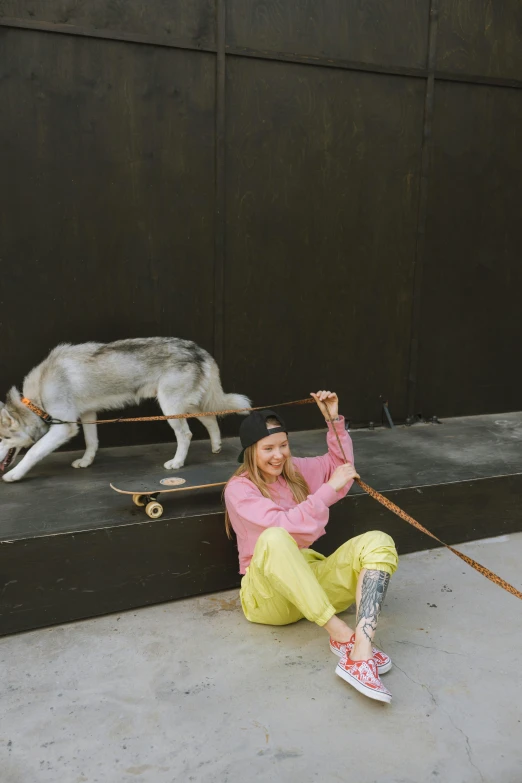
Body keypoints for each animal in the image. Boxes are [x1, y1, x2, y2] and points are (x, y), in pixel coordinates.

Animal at [0, 338, 250, 484]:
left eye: (3, 439)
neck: (37, 397)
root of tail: (198, 350)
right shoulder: (88, 415)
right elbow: (91, 442)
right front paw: (87, 461)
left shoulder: (64, 428)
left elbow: (33, 452)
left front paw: (14, 474)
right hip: (186, 405)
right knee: (210, 418)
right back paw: (216, 446)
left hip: (170, 408)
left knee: (186, 434)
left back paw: (177, 462)